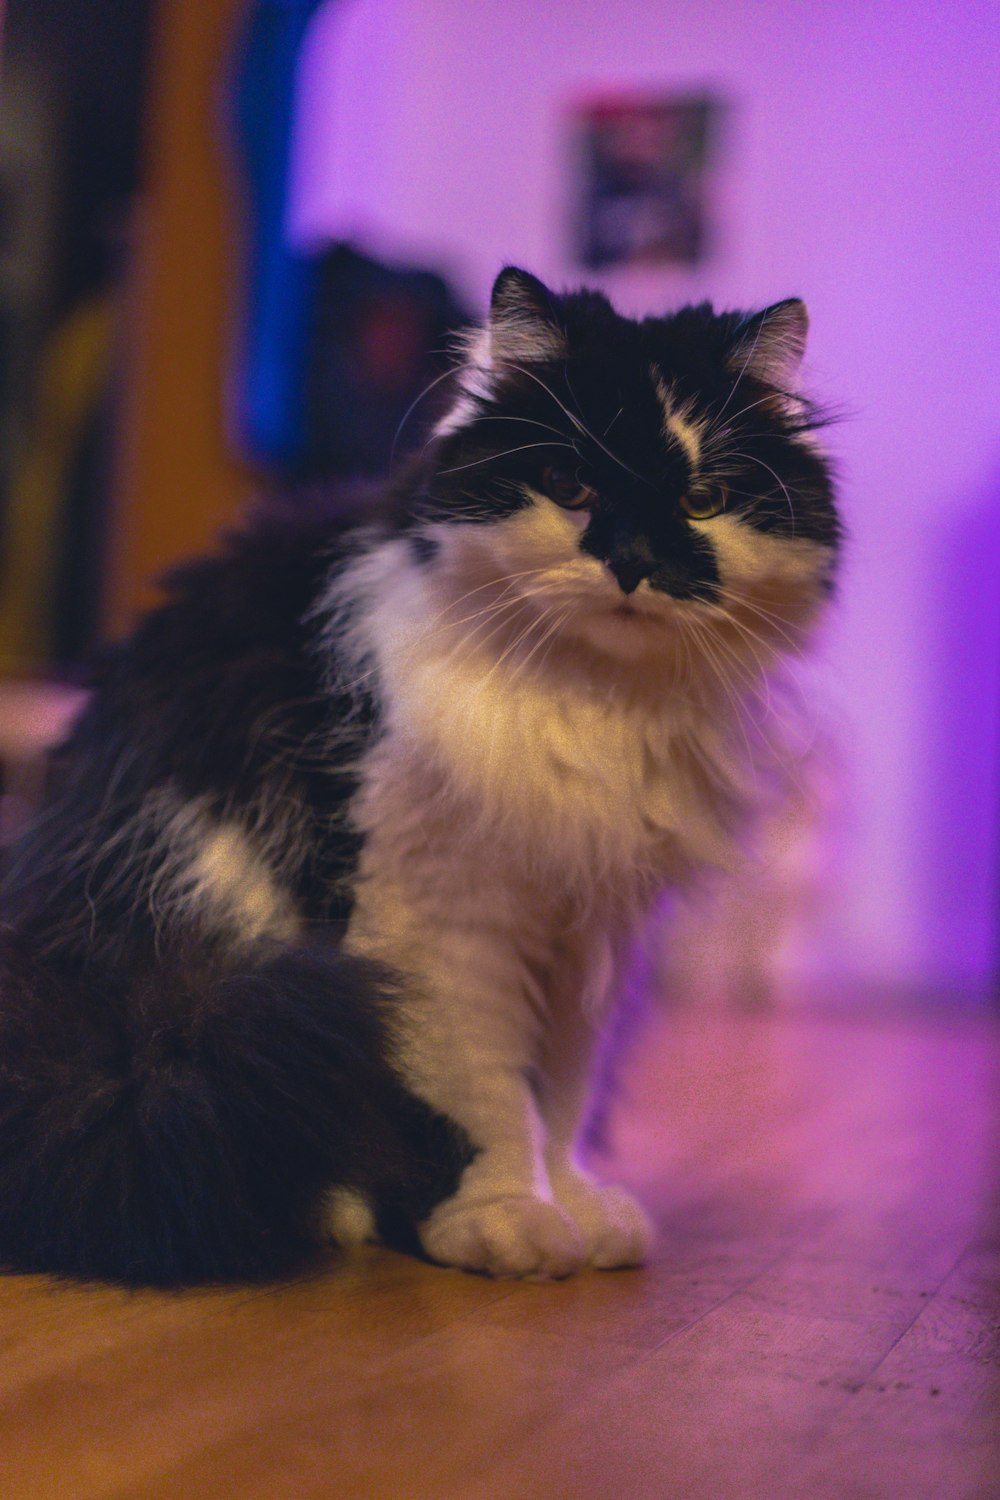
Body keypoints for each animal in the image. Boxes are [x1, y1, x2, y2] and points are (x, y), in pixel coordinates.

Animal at [0, 264, 839, 1284]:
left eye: (706, 499)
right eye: (569, 484)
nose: (635, 566)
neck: (594, 704)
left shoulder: (585, 927)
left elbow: (560, 1096)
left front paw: (578, 1208)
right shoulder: (442, 910)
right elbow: (482, 1093)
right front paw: (507, 1222)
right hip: (215, 929)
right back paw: (331, 1212)